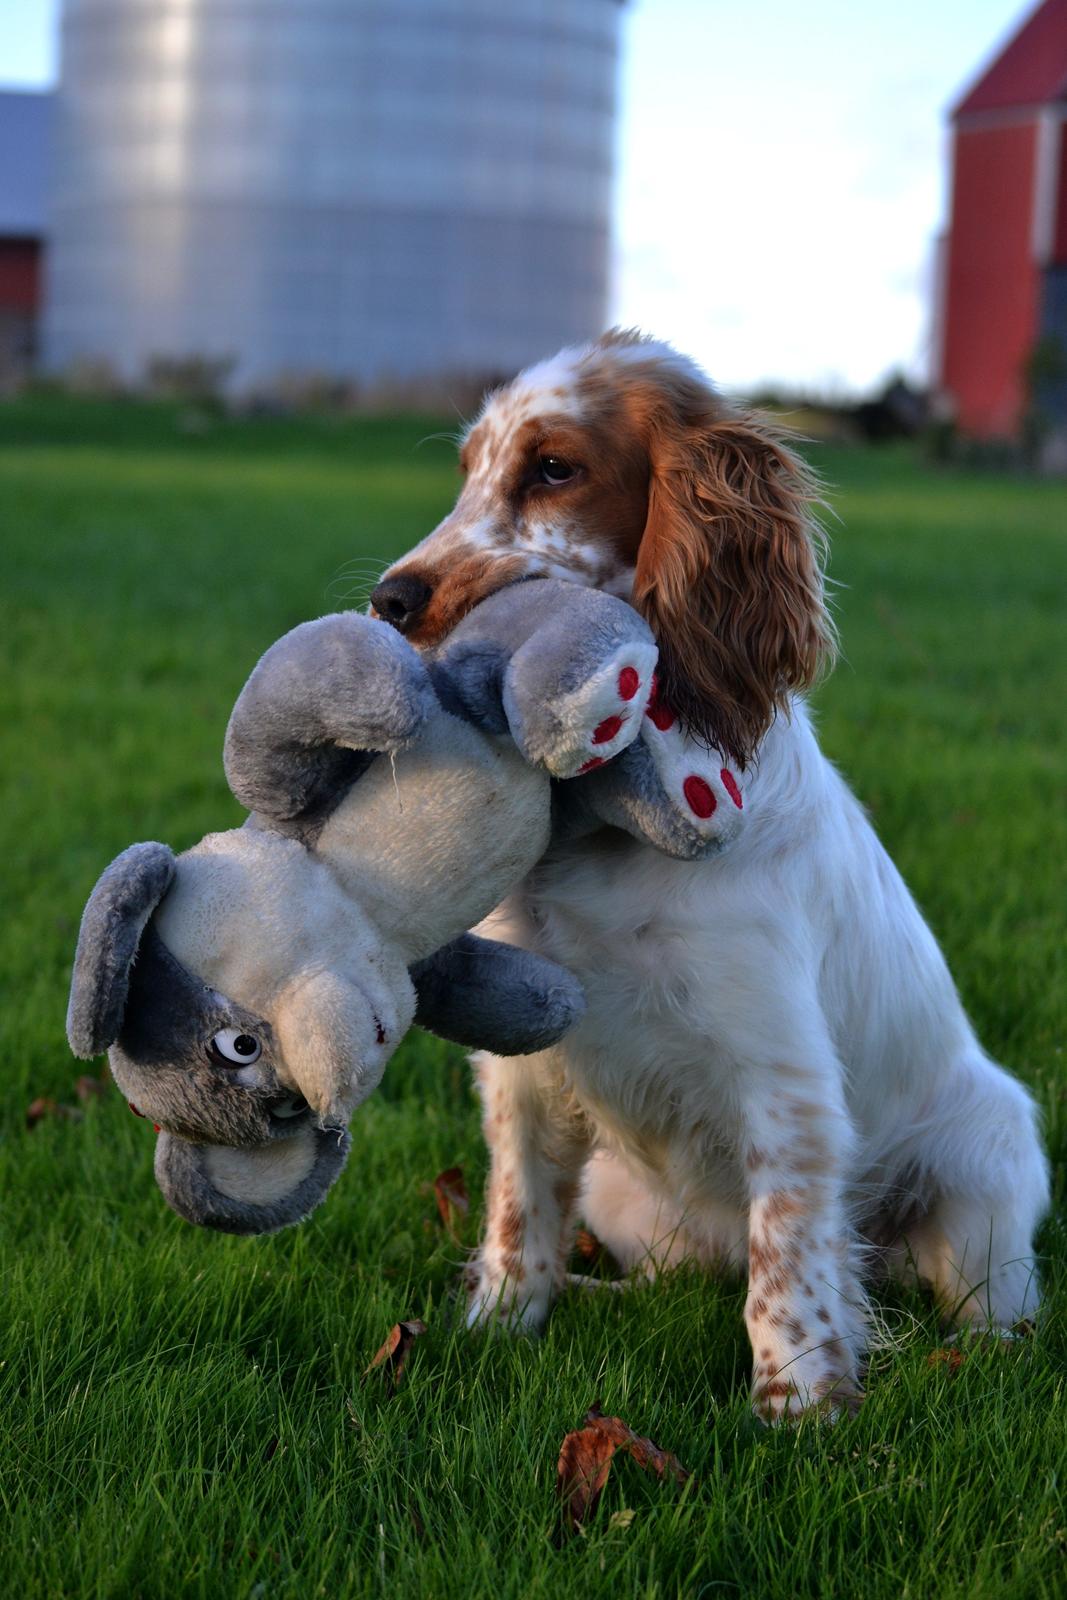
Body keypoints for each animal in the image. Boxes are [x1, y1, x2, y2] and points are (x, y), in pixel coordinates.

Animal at [371, 328, 1049, 1427]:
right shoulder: (523, 1070)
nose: (388, 601)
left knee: (983, 1309)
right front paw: (491, 1333)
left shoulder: (783, 1075)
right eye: (468, 469)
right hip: (622, 1194)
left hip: (986, 1162)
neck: (608, 827)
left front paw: (800, 1408)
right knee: (670, 1272)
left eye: (552, 468)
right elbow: (519, 1215)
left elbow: (791, 1258)